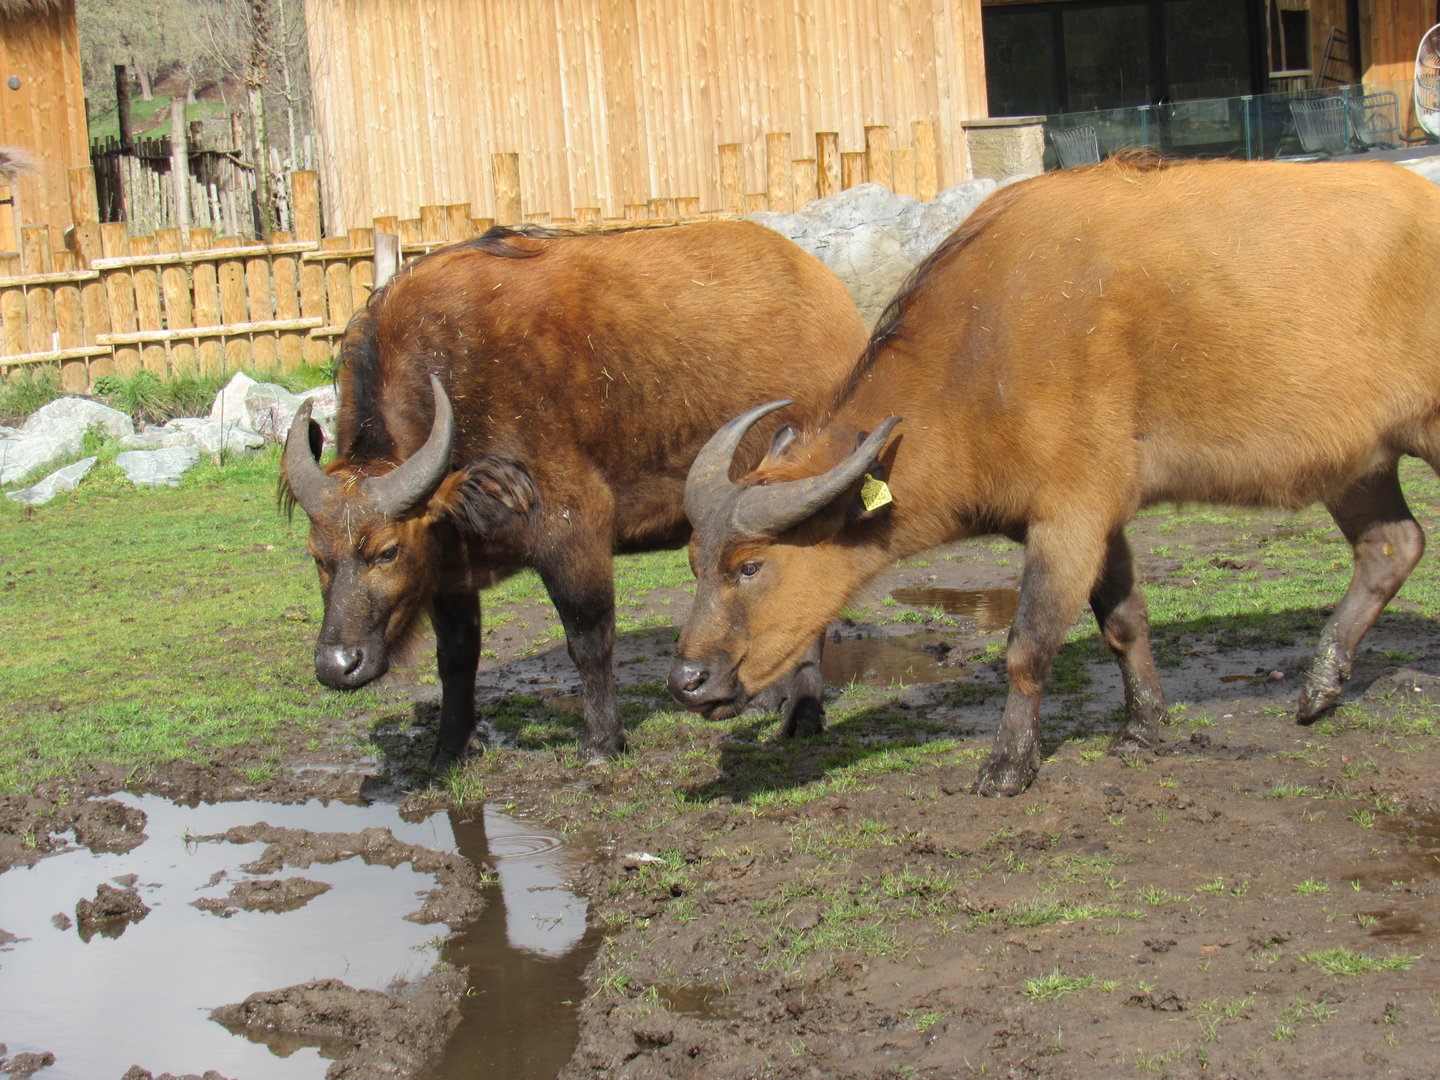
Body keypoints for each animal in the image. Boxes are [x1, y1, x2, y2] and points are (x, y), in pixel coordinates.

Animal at [283, 222, 868, 767]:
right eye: (316, 557)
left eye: (386, 552)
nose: (338, 666)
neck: (454, 372)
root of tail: (832, 296)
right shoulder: (450, 564)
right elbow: (457, 657)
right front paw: (449, 746)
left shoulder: (572, 528)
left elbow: (589, 640)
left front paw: (604, 740)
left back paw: (802, 714)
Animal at [669, 155, 1440, 795]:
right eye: (695, 562)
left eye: (750, 566)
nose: (686, 681)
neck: (981, 353)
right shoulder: (1102, 521)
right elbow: (1125, 623)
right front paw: (1142, 728)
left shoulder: (1067, 519)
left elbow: (1028, 645)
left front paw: (1009, 765)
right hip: (1359, 460)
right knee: (1392, 544)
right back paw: (1320, 687)